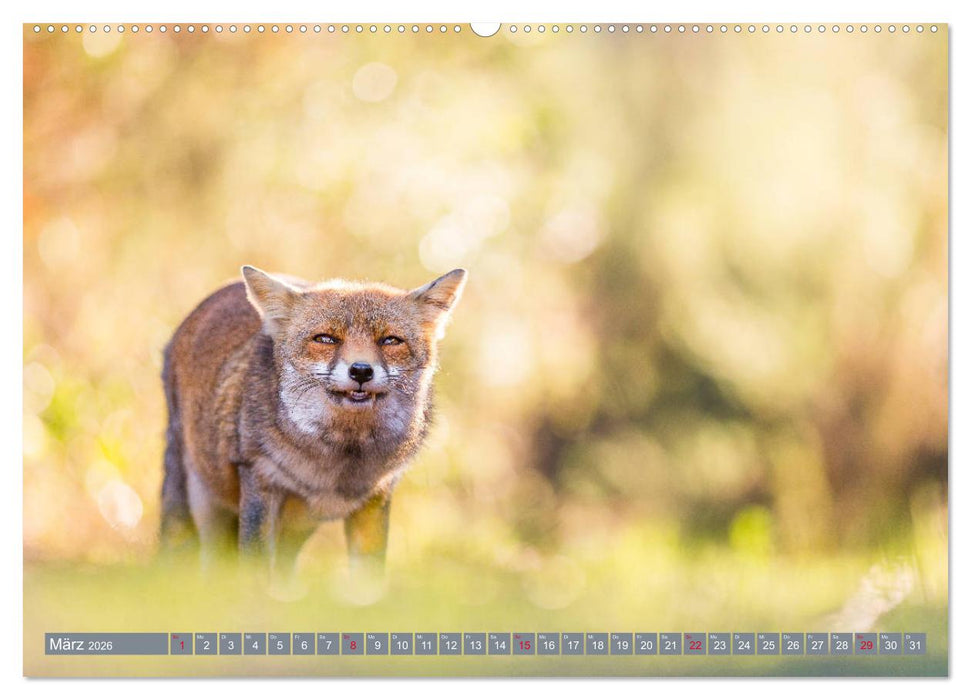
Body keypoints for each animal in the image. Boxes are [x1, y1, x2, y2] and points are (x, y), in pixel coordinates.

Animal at [159, 265, 467, 579]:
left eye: (390, 340)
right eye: (326, 339)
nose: (361, 370)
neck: (338, 464)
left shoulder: (375, 499)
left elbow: (368, 581)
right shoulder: (260, 483)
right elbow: (256, 573)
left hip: (295, 531)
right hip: (199, 510)